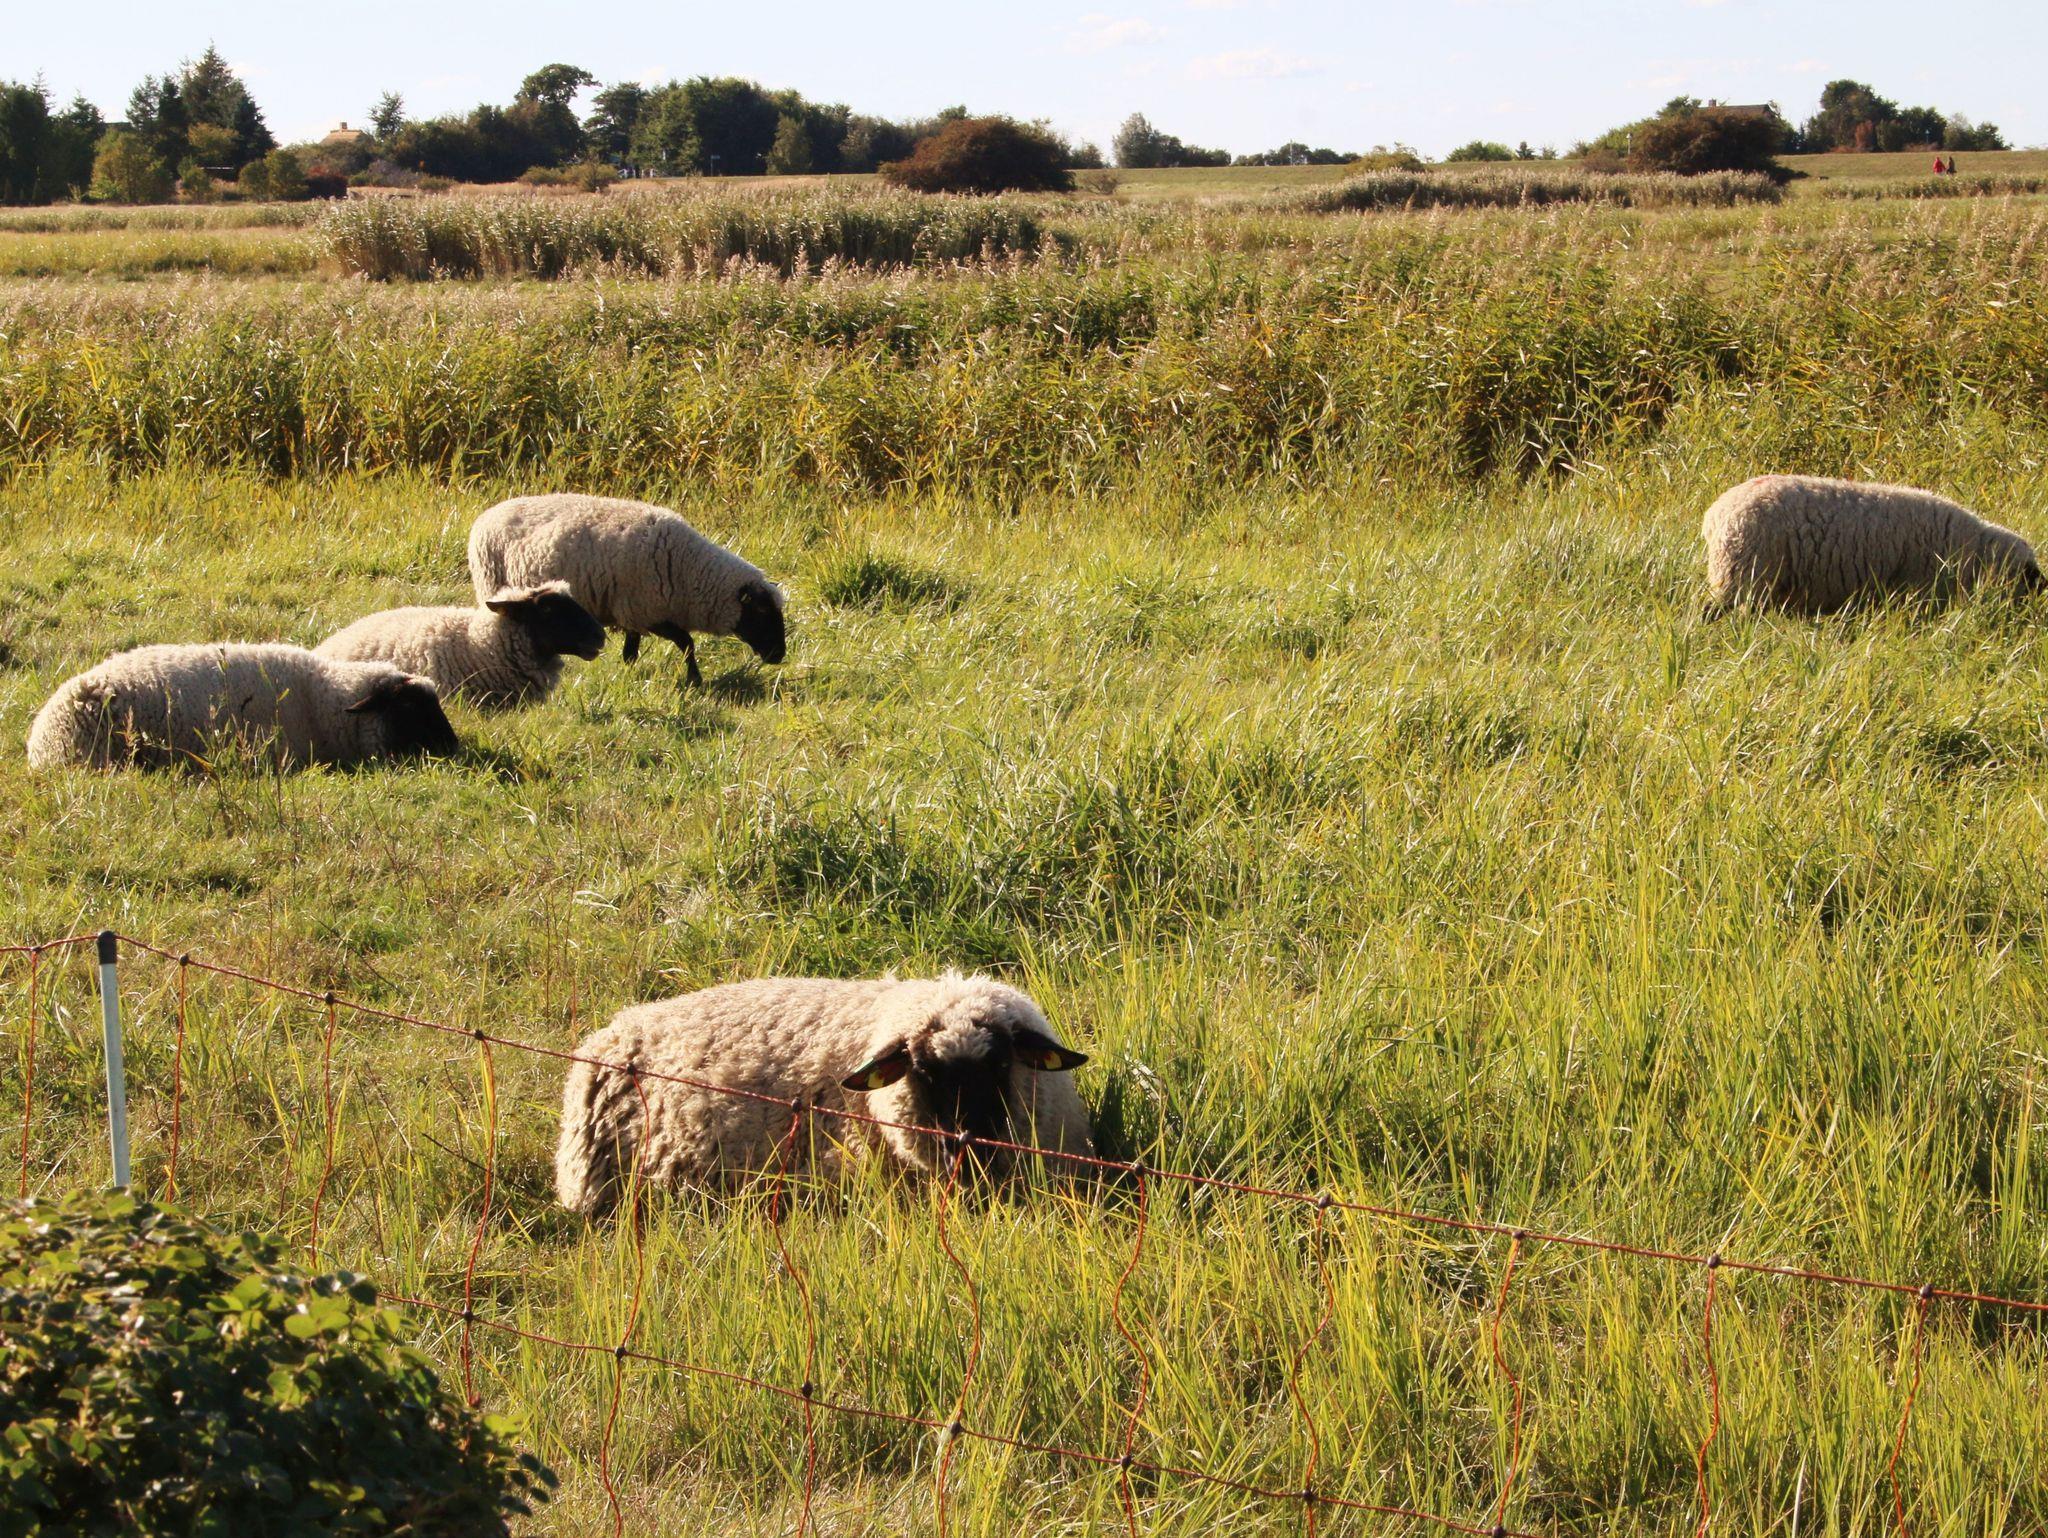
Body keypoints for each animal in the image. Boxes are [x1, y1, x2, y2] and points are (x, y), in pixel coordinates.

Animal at [467, 494, 786, 686]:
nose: (779, 656)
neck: (689, 569)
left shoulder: (632, 614)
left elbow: (631, 652)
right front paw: (695, 680)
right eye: (761, 612)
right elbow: (687, 643)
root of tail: (486, 515)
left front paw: (630, 675)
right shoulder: (646, 611)